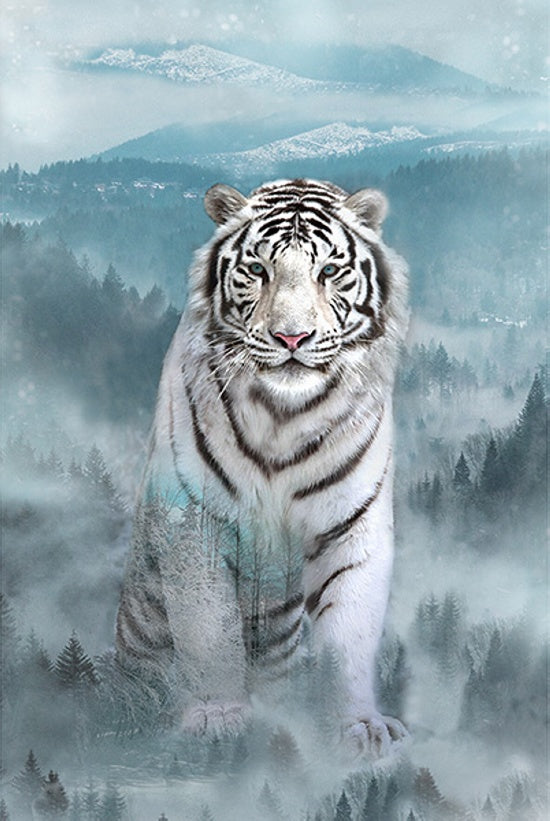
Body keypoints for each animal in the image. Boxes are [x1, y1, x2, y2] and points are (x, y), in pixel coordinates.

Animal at [116, 177, 409, 756]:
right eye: (258, 269)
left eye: (328, 271)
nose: (291, 339)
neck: (284, 416)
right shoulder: (195, 521)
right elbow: (208, 627)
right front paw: (217, 715)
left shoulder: (352, 523)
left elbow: (349, 633)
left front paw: (358, 726)